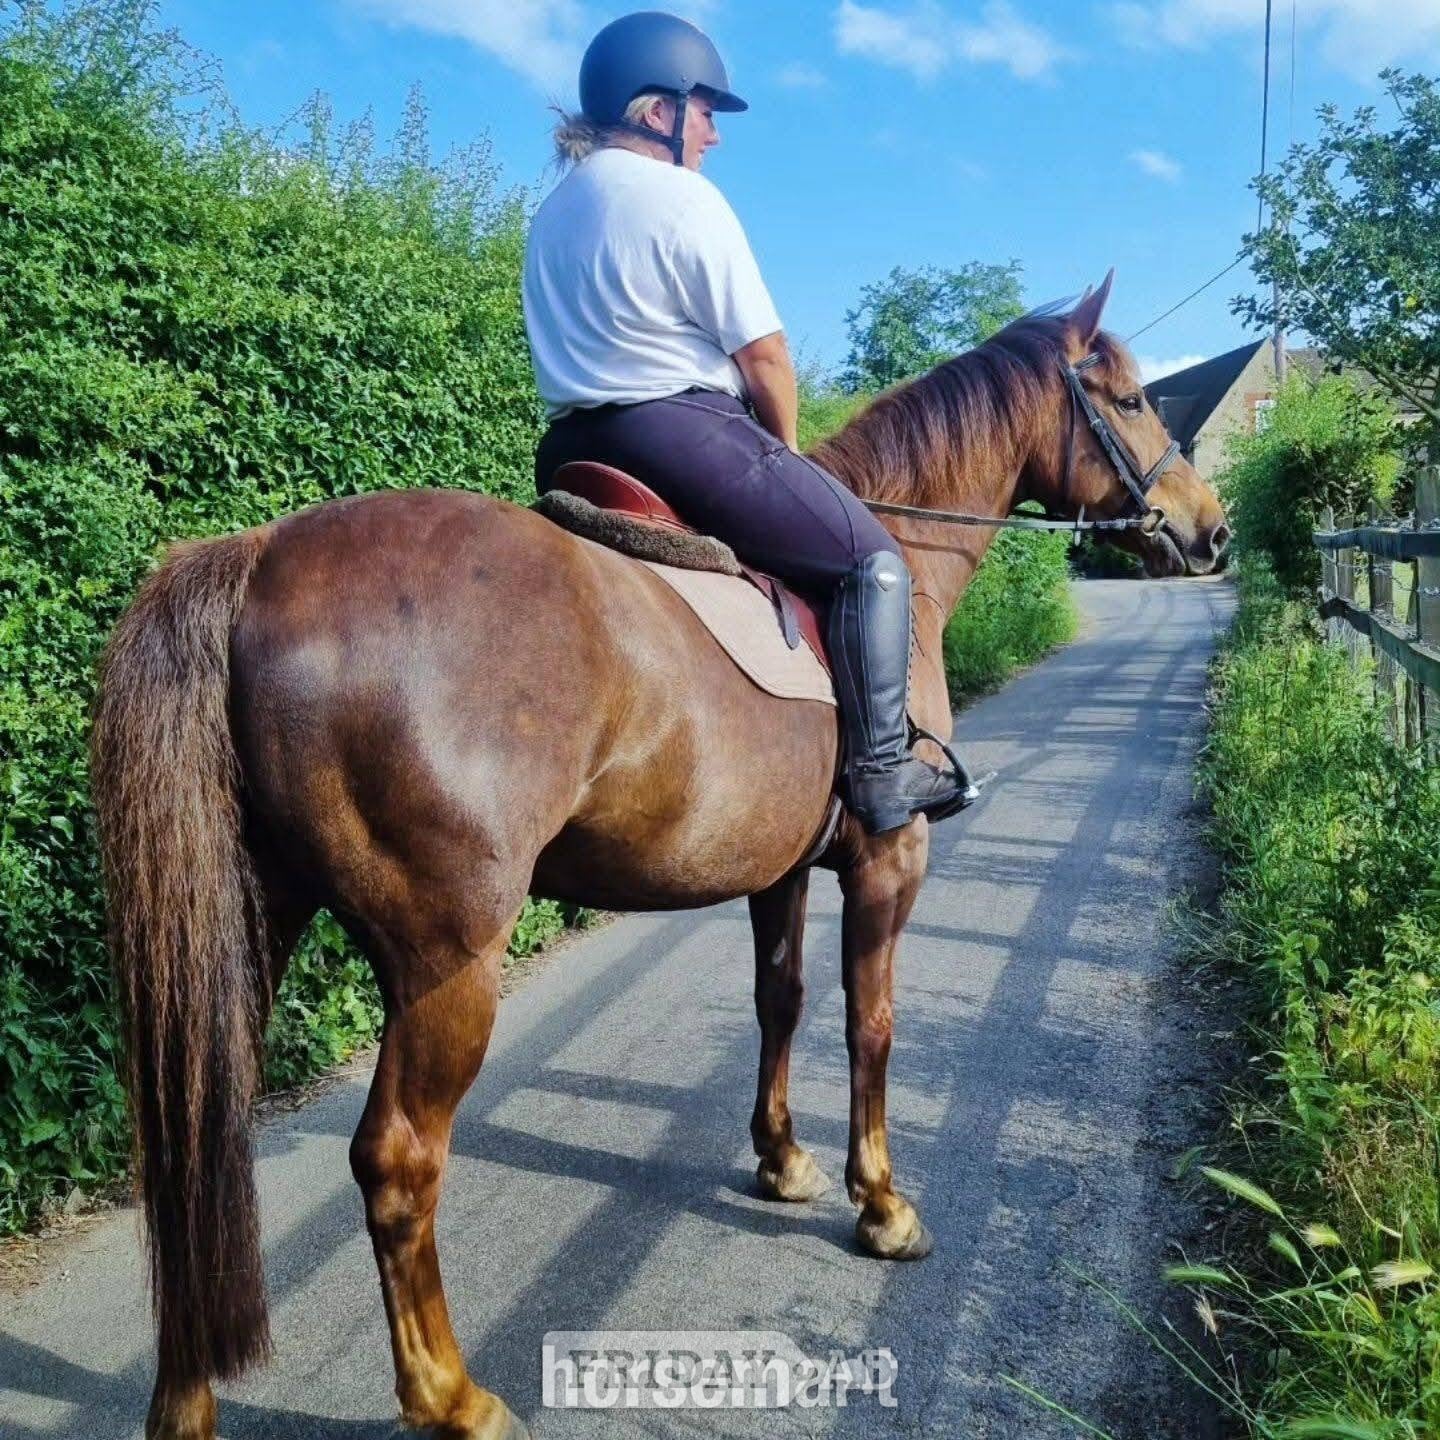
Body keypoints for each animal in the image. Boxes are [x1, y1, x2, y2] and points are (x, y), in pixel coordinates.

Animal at [89, 275, 1227, 1440]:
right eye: (1130, 399)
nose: (1211, 530)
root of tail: (260, 557)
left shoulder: (779, 873)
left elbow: (783, 1000)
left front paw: (781, 1160)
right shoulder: (887, 863)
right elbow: (870, 1026)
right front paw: (882, 1204)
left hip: (252, 930)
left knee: (191, 1152)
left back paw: (187, 1404)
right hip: (448, 963)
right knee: (398, 1164)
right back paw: (455, 1397)